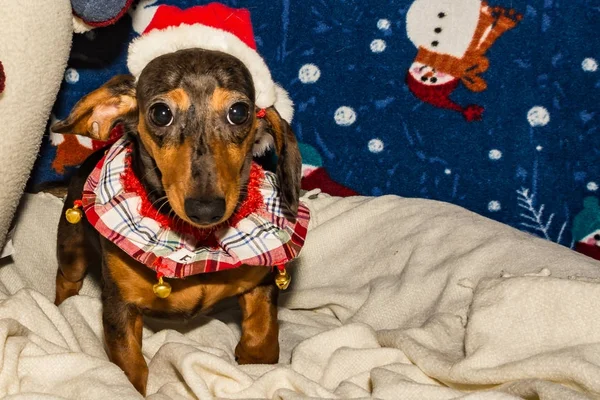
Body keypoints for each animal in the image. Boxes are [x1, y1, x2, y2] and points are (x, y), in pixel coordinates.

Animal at [51, 48, 302, 396]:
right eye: (161, 113)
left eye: (239, 112)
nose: (206, 209)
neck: (198, 241)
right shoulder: (119, 307)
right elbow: (130, 367)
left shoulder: (261, 284)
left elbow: (264, 336)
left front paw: (254, 361)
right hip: (72, 247)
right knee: (67, 279)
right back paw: (61, 310)